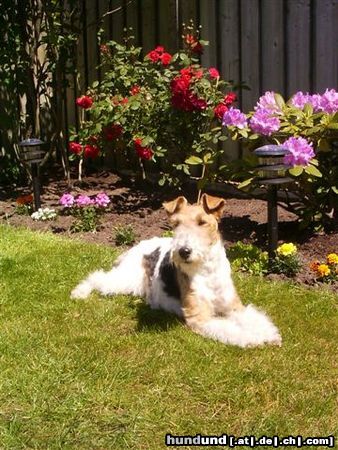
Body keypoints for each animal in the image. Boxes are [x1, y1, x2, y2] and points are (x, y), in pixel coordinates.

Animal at [72, 194, 282, 348]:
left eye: (202, 222)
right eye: (176, 224)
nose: (184, 251)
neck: (206, 269)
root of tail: (137, 246)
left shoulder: (234, 307)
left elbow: (254, 318)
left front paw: (270, 334)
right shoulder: (200, 317)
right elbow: (230, 329)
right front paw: (254, 339)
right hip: (124, 280)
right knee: (97, 277)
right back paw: (79, 292)